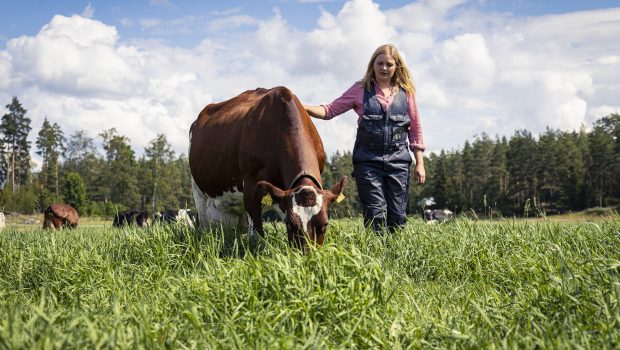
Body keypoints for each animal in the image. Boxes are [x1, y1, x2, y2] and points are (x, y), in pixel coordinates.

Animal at [188, 85, 348, 249]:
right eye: (290, 224)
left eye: (325, 224)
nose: (307, 254)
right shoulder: (251, 186)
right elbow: (257, 238)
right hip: (199, 193)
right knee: (204, 226)